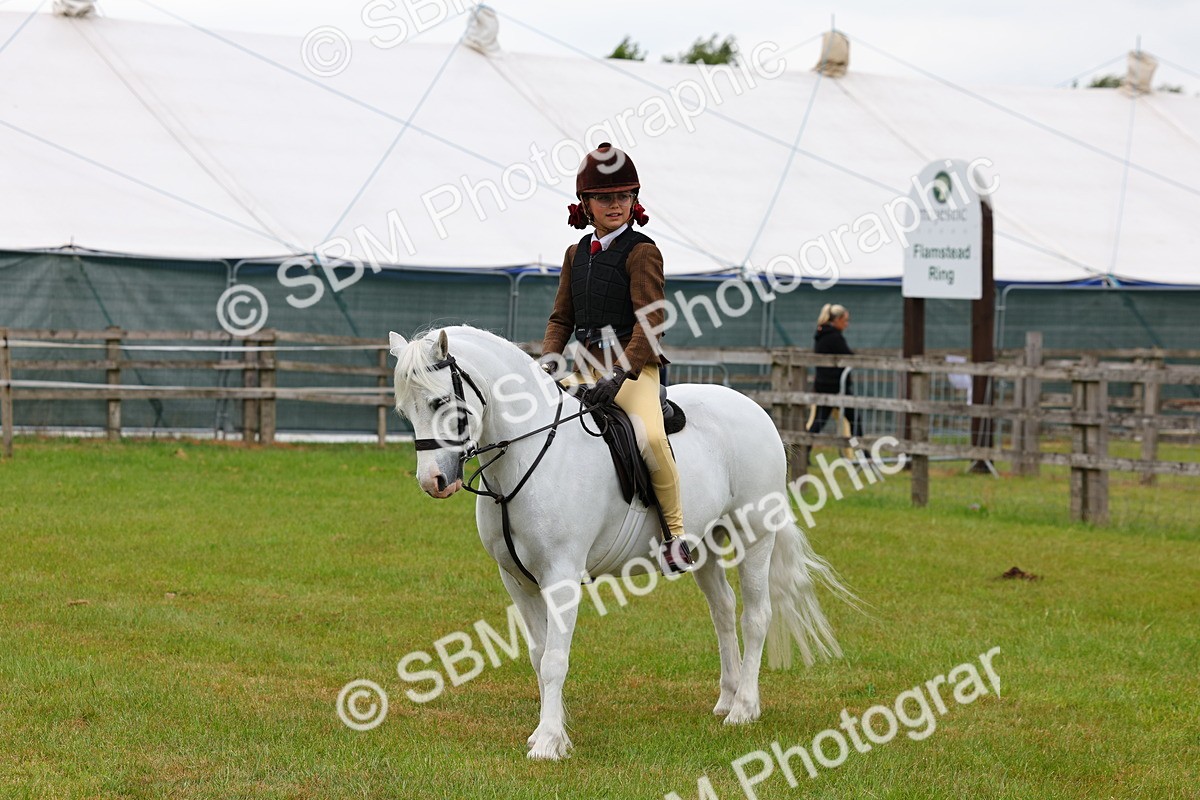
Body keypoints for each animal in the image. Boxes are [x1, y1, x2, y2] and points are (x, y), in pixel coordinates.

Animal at [389, 325, 852, 761]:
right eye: (404, 410)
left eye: (439, 402)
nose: (434, 482)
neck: (527, 453)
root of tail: (755, 410)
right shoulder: (516, 580)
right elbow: (539, 655)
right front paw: (546, 733)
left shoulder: (561, 576)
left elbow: (554, 660)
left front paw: (549, 744)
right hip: (703, 545)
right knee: (722, 612)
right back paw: (728, 697)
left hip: (754, 536)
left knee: (755, 617)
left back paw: (744, 709)